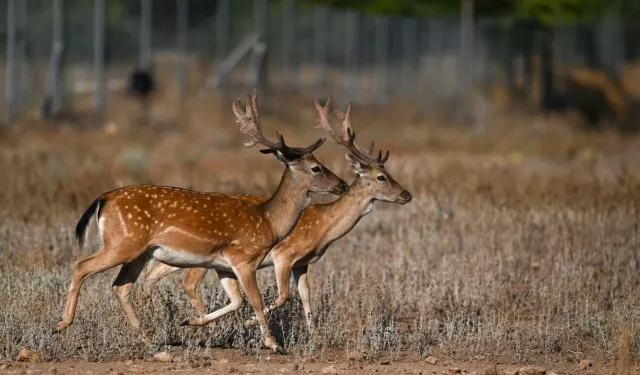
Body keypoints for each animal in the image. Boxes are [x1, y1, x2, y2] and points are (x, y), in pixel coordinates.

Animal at [53, 90, 350, 352]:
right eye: (316, 168)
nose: (343, 184)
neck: (269, 221)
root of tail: (103, 199)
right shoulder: (244, 257)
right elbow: (254, 299)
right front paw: (274, 344)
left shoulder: (223, 265)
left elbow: (237, 301)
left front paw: (190, 321)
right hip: (122, 243)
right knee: (82, 265)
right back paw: (62, 324)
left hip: (138, 252)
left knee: (121, 286)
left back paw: (148, 337)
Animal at [141, 96, 412, 328]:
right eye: (381, 177)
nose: (407, 195)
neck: (324, 229)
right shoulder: (284, 256)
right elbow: (284, 295)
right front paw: (250, 322)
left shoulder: (302, 263)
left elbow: (305, 294)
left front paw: (313, 334)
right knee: (186, 282)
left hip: (174, 256)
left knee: (151, 274)